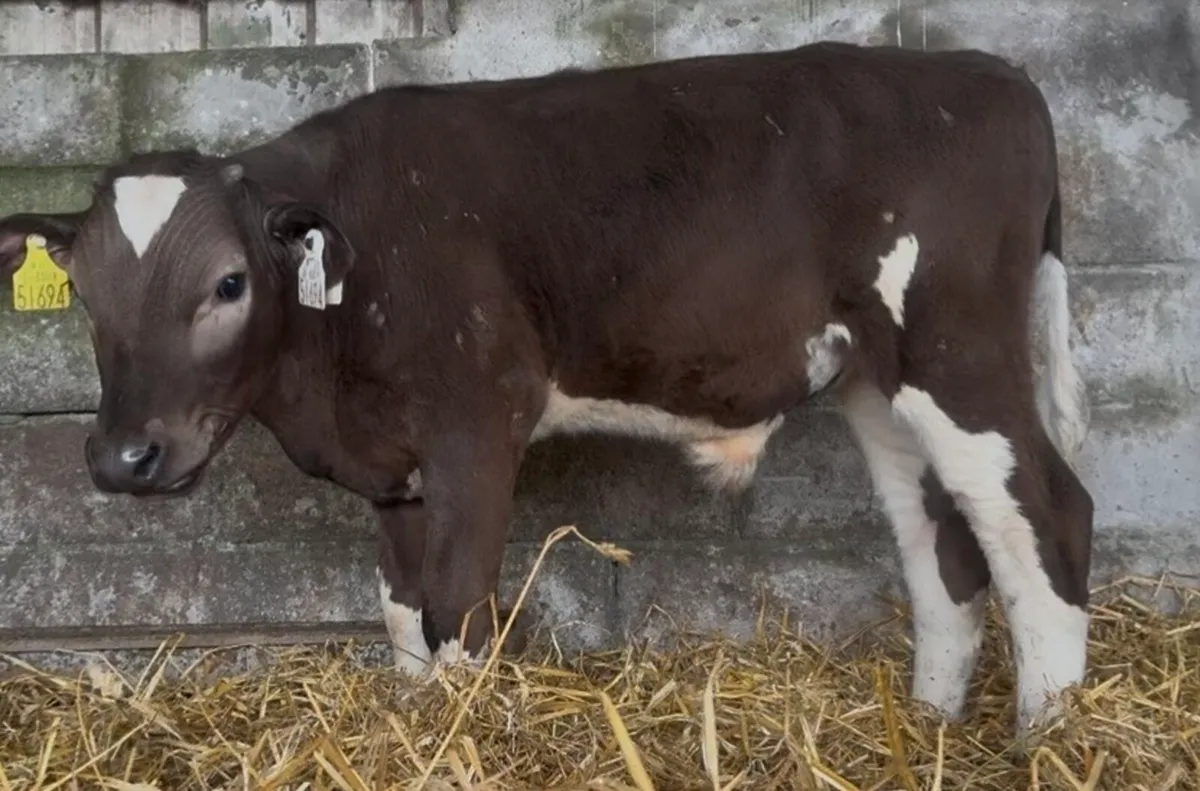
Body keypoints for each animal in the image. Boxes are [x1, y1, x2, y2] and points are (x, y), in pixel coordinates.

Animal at [0, 40, 1093, 739]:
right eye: (84, 290)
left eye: (229, 283)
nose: (123, 456)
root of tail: (991, 74)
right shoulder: (396, 469)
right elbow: (401, 611)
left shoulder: (479, 422)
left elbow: (457, 611)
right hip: (879, 374)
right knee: (947, 545)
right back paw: (931, 725)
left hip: (956, 349)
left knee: (1047, 514)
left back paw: (1046, 741)